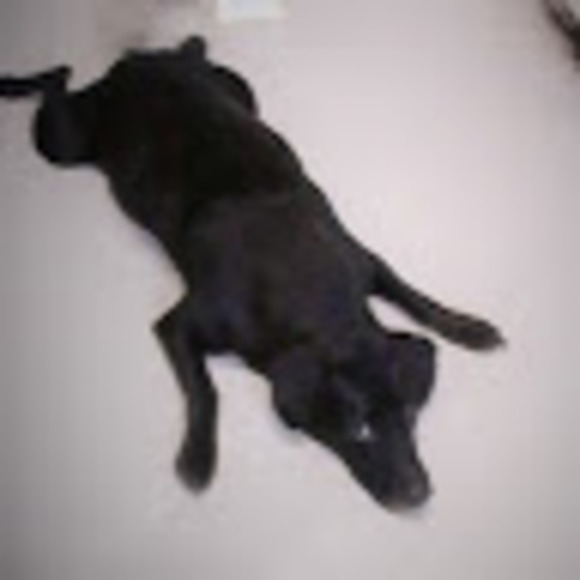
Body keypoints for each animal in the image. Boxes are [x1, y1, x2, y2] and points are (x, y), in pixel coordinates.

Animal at [0, 37, 503, 510]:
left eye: (413, 416)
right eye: (359, 430)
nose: (421, 496)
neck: (318, 303)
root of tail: (145, 58)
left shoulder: (365, 260)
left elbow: (417, 297)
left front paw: (472, 328)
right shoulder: (178, 324)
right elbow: (205, 391)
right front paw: (197, 460)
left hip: (241, 89)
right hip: (61, 140)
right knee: (58, 80)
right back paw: (18, 82)